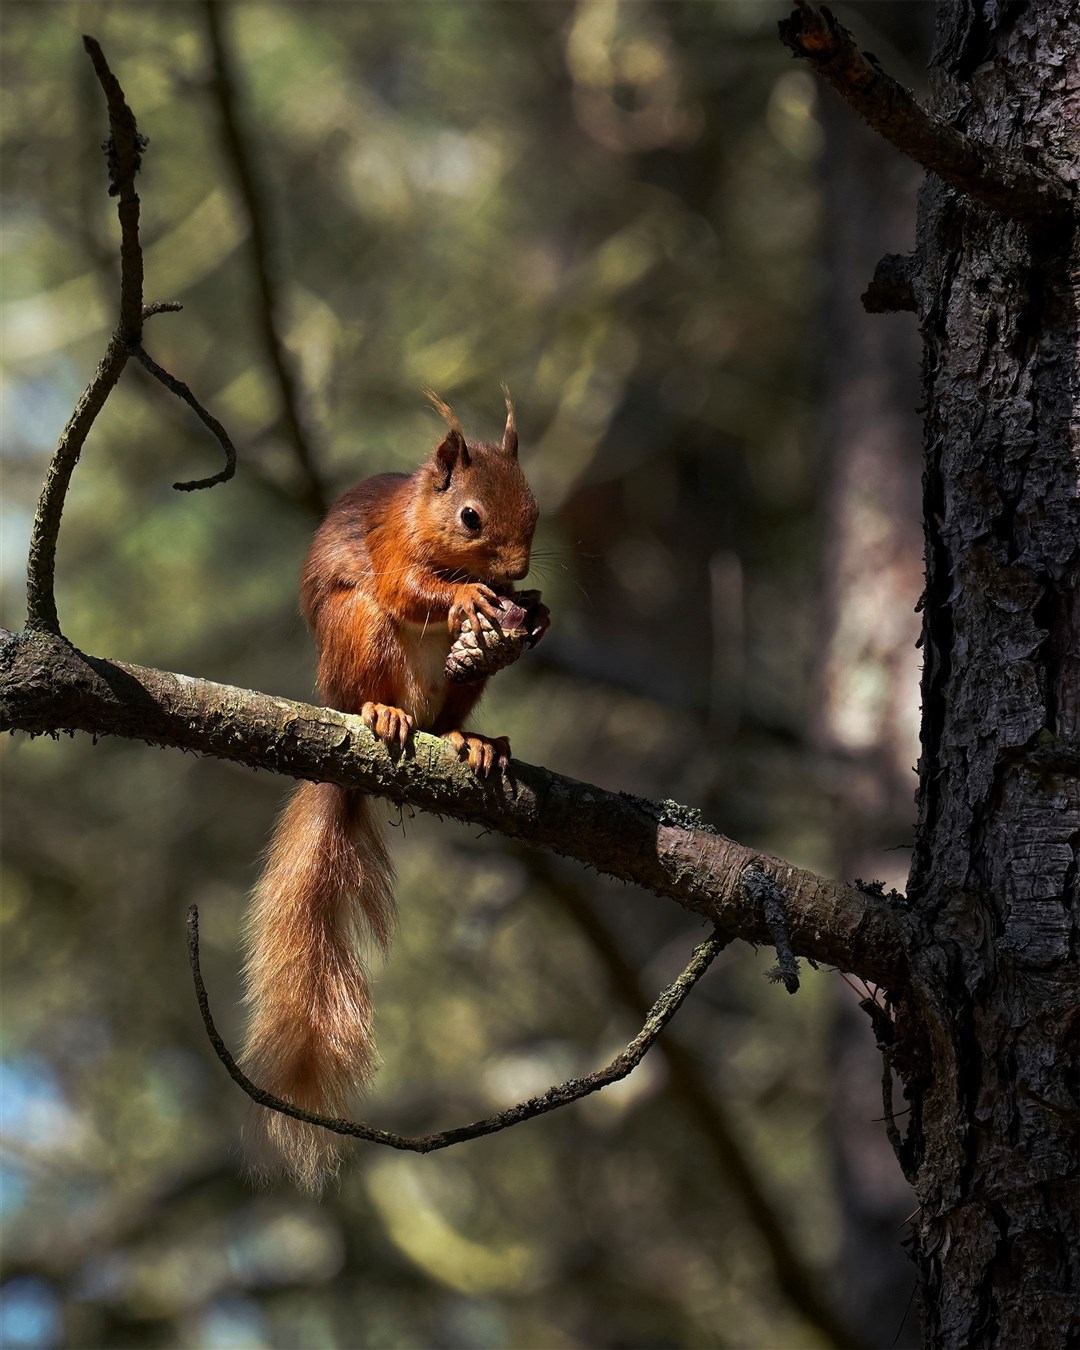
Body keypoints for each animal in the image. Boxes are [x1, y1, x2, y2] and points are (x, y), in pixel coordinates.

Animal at [245, 394, 548, 1193]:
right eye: (470, 516)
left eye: (535, 509)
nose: (518, 570)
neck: (424, 518)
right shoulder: (389, 552)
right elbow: (410, 588)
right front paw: (466, 595)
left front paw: (533, 608)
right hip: (359, 637)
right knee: (378, 672)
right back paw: (384, 714)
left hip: (461, 686)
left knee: (449, 717)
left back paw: (475, 740)